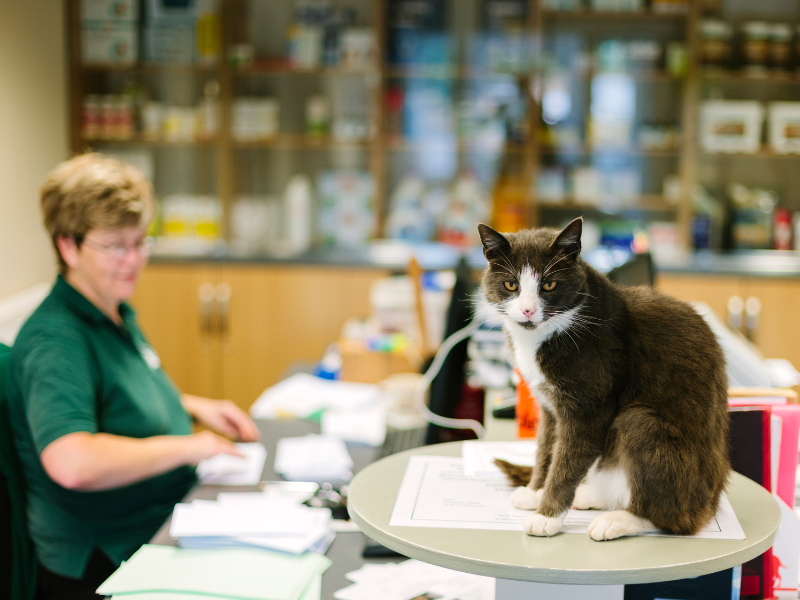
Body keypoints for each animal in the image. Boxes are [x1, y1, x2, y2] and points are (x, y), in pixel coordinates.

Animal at [476, 218, 732, 540]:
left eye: (549, 284)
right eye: (511, 284)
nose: (528, 310)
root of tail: (711, 504)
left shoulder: (589, 405)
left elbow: (567, 460)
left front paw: (547, 517)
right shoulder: (548, 405)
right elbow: (546, 448)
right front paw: (535, 492)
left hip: (648, 432)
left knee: (673, 518)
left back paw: (619, 520)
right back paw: (591, 496)